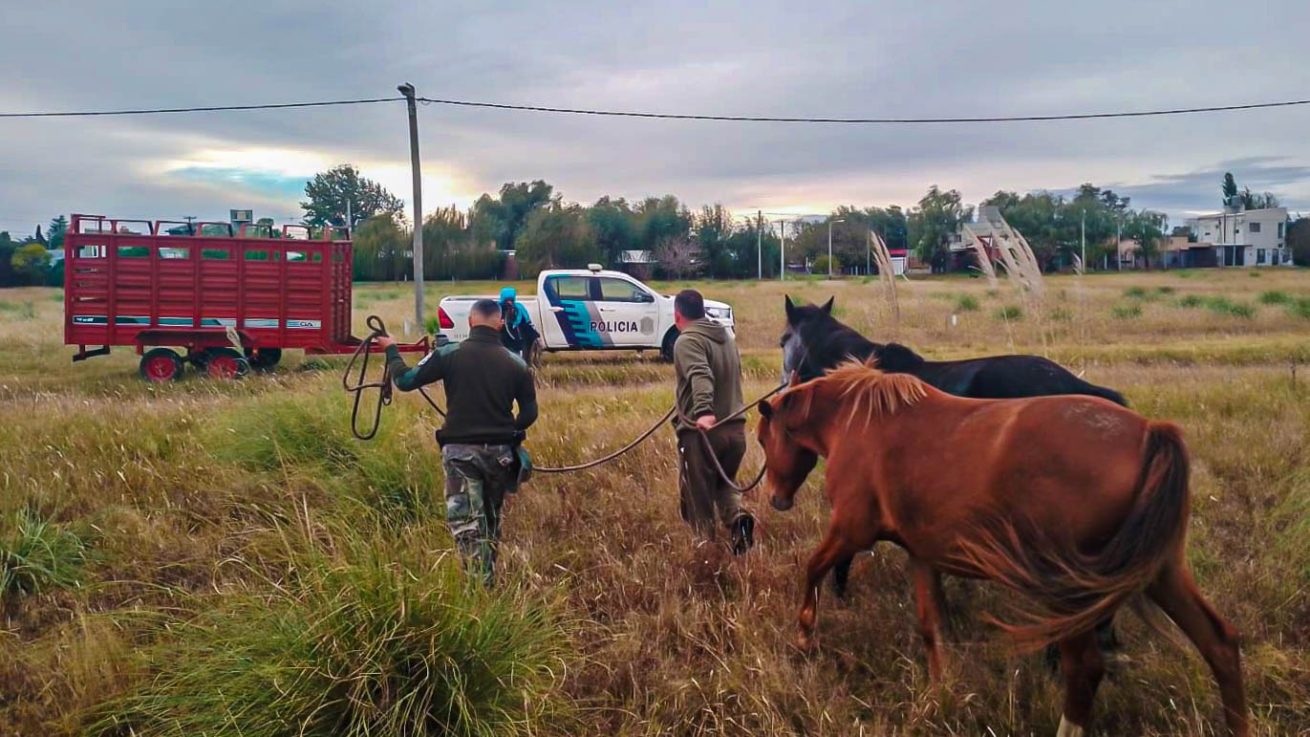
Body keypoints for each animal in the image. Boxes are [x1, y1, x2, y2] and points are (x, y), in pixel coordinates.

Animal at [759, 363, 1247, 737]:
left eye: (765, 440)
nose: (775, 498)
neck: (860, 421)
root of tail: (1149, 431)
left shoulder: (851, 530)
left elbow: (813, 568)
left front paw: (804, 634)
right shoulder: (923, 554)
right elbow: (932, 627)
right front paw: (940, 693)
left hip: (1071, 591)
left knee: (1085, 668)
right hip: (1163, 574)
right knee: (1220, 644)